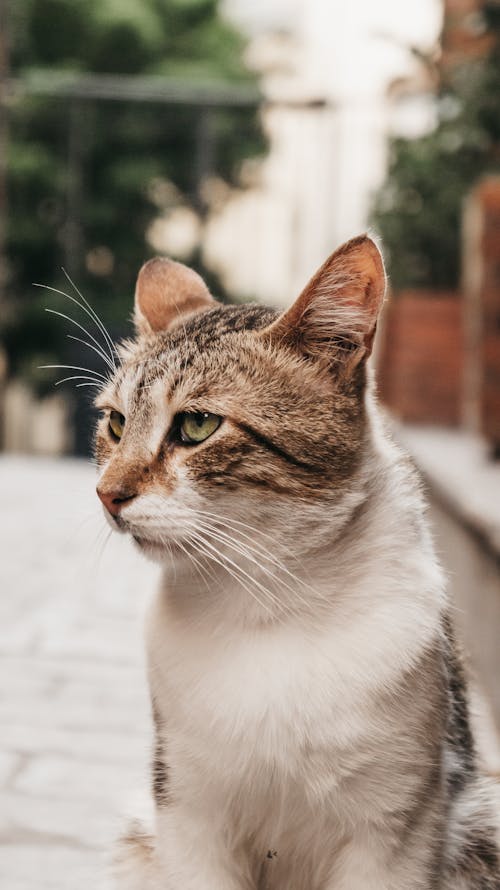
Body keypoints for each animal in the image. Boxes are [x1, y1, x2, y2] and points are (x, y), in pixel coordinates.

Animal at [94, 236, 500, 888]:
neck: (268, 599)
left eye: (197, 424)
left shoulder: (393, 829)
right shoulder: (187, 811)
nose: (107, 494)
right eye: (115, 422)